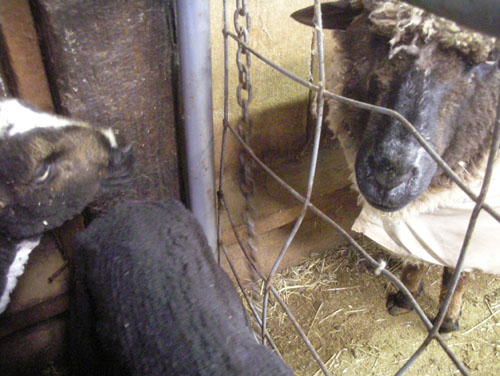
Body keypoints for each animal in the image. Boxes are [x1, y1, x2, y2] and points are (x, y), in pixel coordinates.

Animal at [292, 1, 500, 334]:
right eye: (375, 36)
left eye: (488, 60)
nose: (389, 175)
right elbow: (414, 258)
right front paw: (406, 296)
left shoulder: (475, 221)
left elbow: (459, 270)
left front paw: (448, 317)